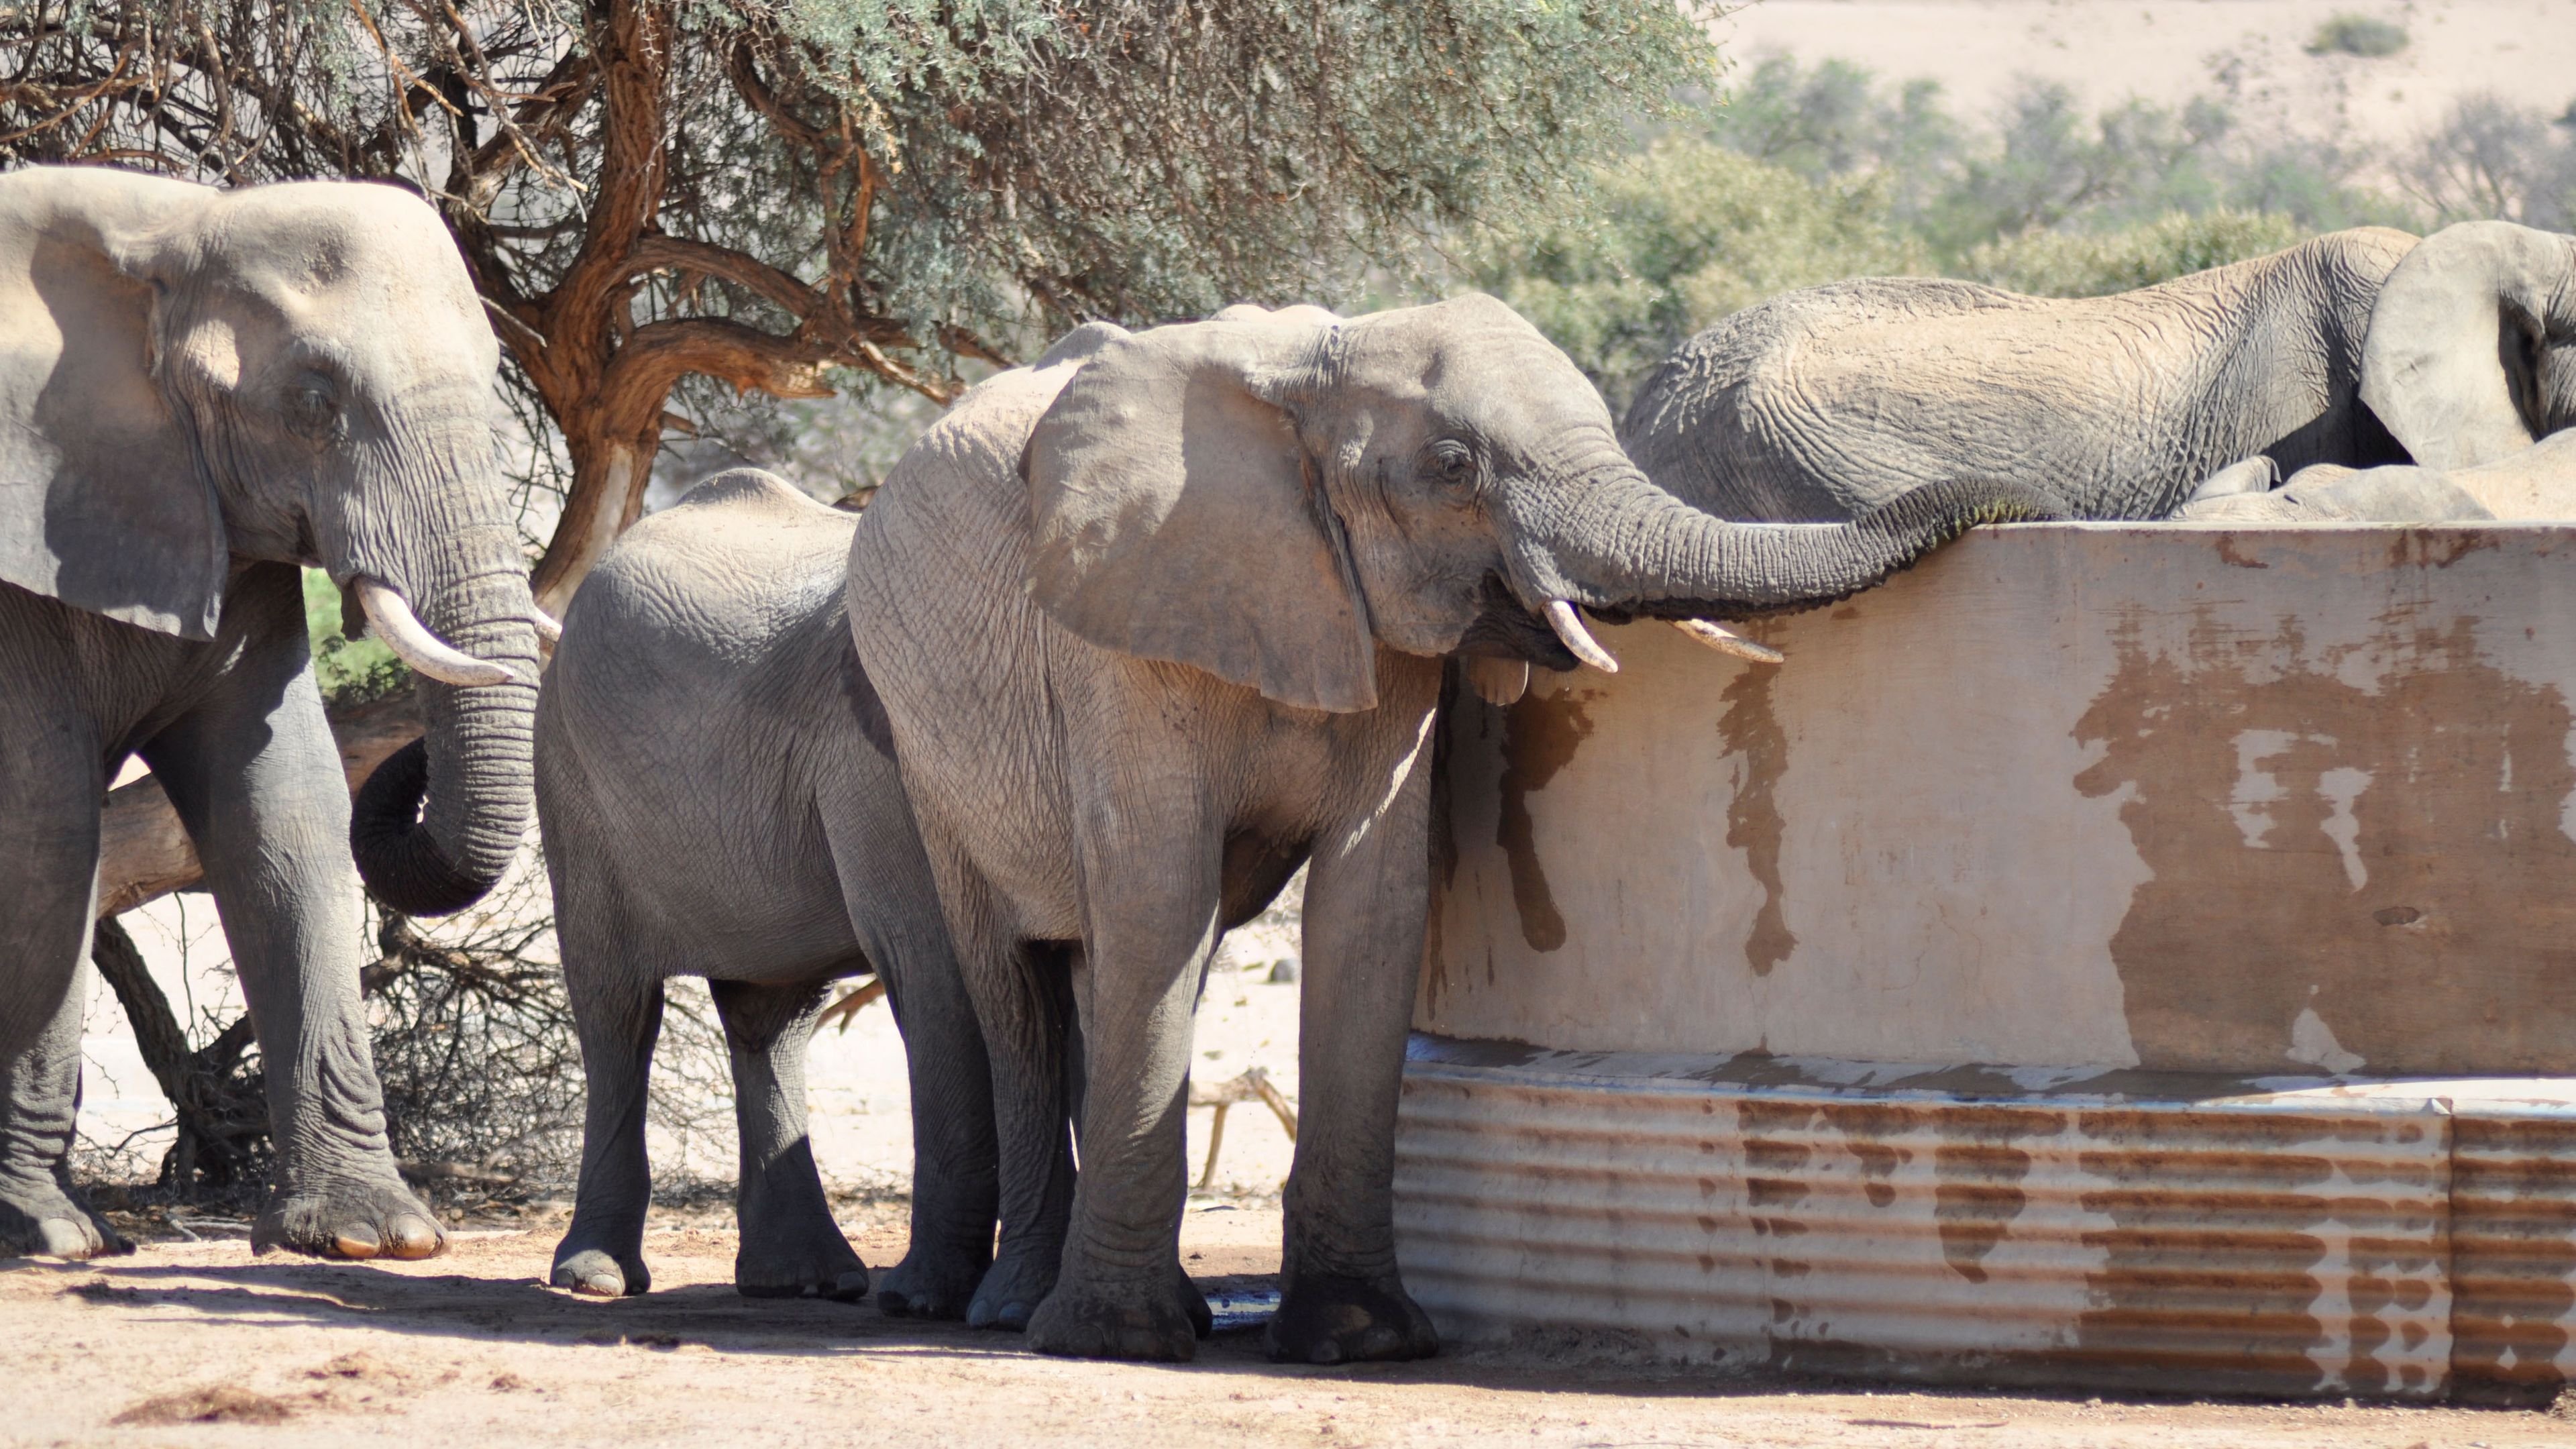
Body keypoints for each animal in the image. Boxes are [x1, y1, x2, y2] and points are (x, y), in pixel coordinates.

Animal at [3, 166, 548, 1252]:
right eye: (312, 402)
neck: (167, 226)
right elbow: (47, 830)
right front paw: (44, 1233)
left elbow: (285, 810)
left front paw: (370, 1234)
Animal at [855, 299, 2061, 1361]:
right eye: (1451, 467)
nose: (2023, 502)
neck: (1311, 374)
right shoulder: (1125, 622)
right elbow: (1159, 901)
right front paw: (1117, 1344)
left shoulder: (1377, 645)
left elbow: (1371, 907)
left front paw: (1357, 1342)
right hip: (923, 741)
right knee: (1016, 980)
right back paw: (1024, 1313)